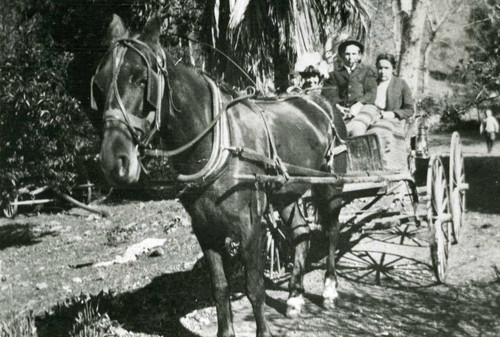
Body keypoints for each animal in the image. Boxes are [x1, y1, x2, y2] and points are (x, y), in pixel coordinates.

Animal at [92, 13, 346, 336]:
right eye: (100, 84)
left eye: (141, 78)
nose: (114, 162)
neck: (219, 142)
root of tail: (319, 102)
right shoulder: (205, 229)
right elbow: (220, 287)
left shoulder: (251, 227)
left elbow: (254, 288)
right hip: (287, 191)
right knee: (302, 233)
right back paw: (294, 297)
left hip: (330, 184)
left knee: (332, 230)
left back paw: (330, 289)